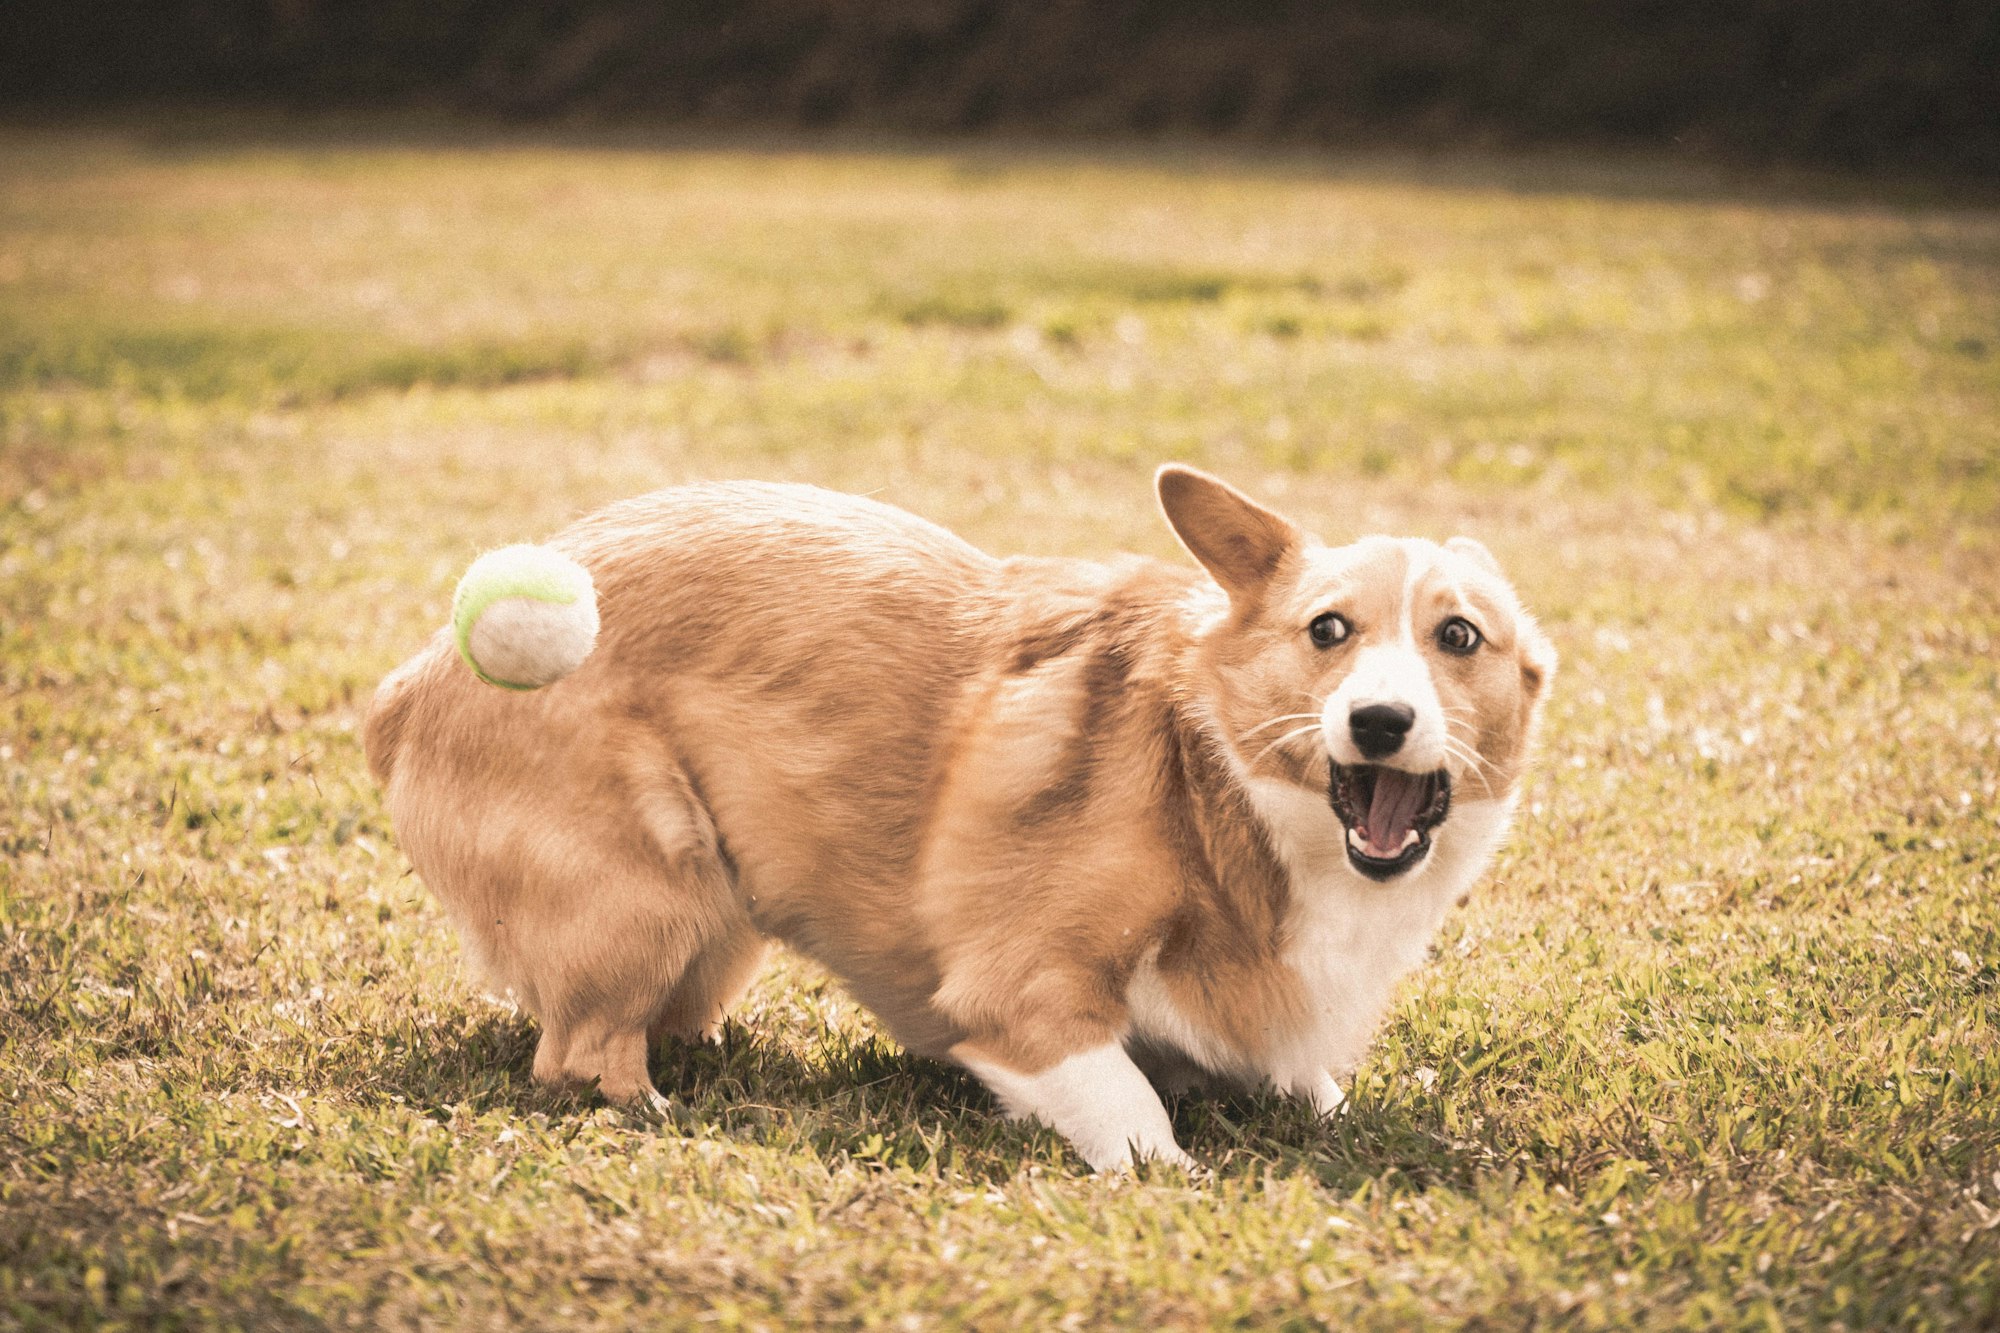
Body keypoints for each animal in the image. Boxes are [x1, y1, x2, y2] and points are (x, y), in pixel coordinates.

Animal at [368, 464, 1552, 1160]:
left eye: (1458, 636)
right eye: (1326, 630)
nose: (1380, 721)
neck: (1220, 791)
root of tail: (411, 678)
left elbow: (1310, 1086)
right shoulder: (1020, 994)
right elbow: (1135, 1120)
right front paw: (1174, 1165)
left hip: (716, 931)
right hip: (652, 892)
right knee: (580, 1054)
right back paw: (673, 1112)